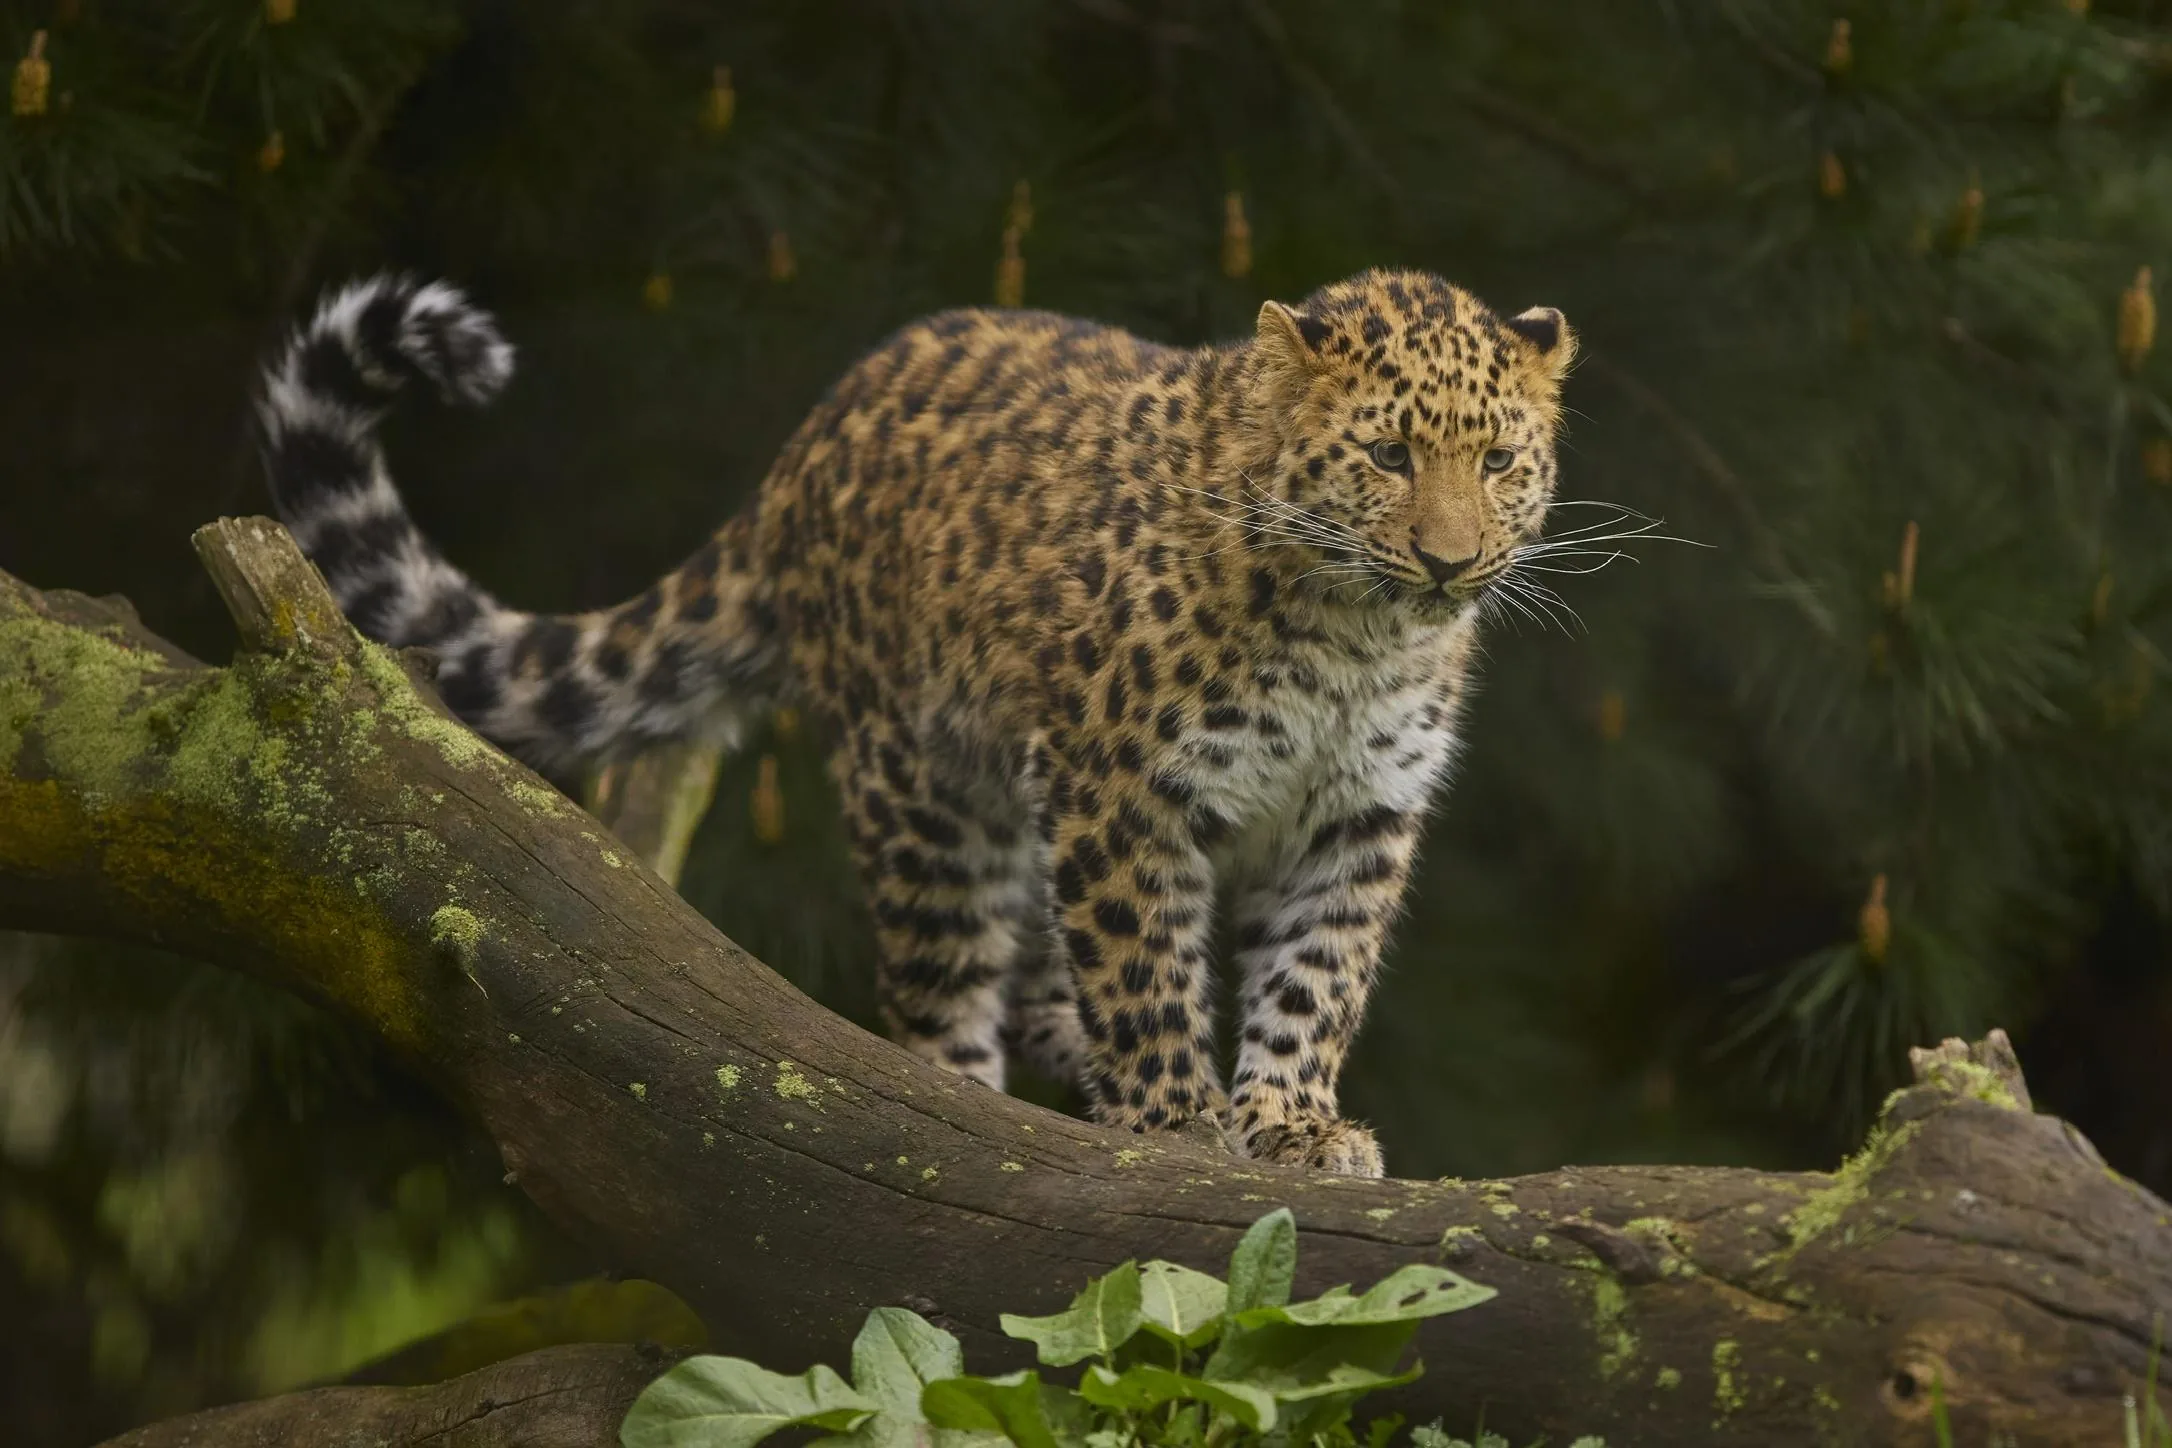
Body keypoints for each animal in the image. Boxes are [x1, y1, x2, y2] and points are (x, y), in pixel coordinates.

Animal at [255, 267, 1577, 1177]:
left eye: (1499, 461)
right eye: (1389, 454)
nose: (1451, 561)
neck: (1358, 637)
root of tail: (808, 441)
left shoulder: (1358, 813)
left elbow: (1317, 978)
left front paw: (1292, 1123)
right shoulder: (1121, 787)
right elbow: (1143, 963)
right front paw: (1173, 1123)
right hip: (932, 789)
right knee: (942, 997)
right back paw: (977, 1113)